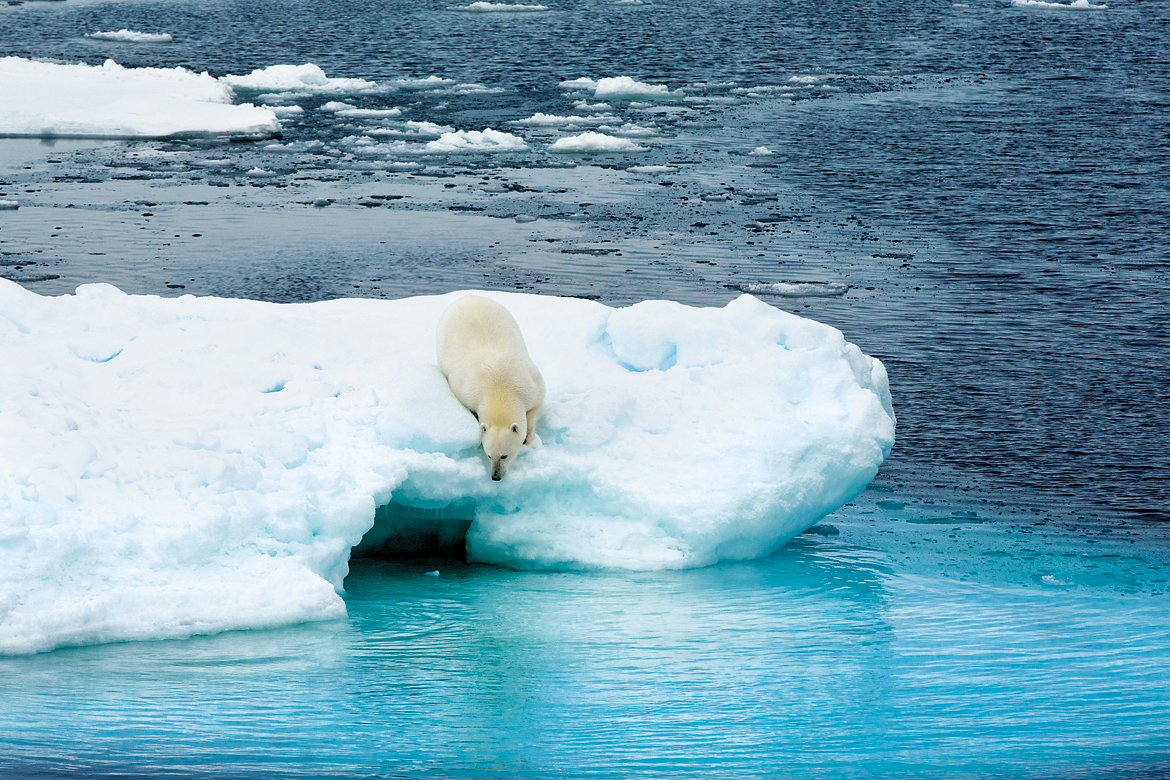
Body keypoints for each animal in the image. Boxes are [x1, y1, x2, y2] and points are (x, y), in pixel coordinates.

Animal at [437, 295, 545, 479]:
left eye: (504, 455)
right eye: (488, 455)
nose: (495, 476)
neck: (499, 389)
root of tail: (467, 296)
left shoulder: (530, 383)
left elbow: (536, 405)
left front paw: (528, 437)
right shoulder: (467, 390)